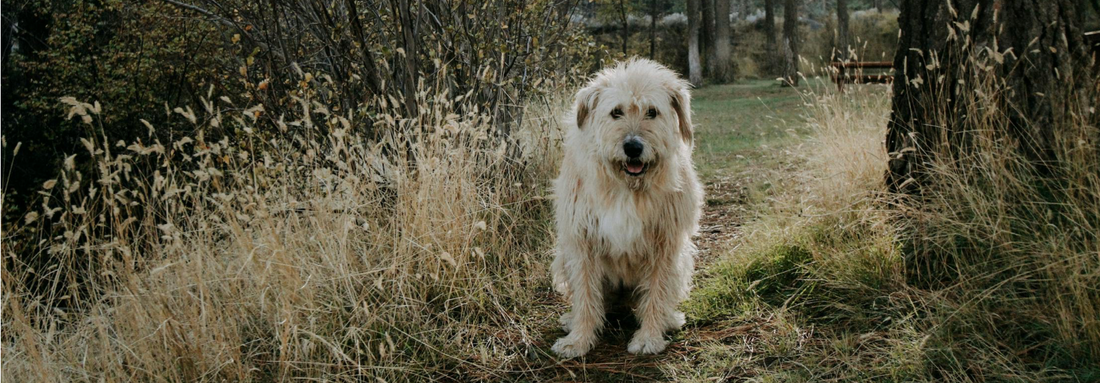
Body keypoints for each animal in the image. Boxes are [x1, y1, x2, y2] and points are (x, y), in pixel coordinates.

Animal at [550, 58, 704, 356]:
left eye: (652, 112)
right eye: (616, 112)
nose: (633, 147)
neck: (627, 186)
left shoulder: (665, 243)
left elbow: (657, 290)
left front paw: (649, 337)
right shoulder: (582, 240)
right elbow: (585, 293)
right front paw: (579, 339)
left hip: (682, 260)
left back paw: (668, 319)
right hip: (564, 256)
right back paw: (572, 320)